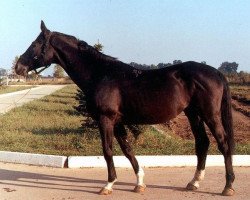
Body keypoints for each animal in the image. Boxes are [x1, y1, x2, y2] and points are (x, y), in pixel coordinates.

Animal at [15, 21, 234, 196]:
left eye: (35, 44)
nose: (18, 67)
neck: (101, 74)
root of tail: (216, 73)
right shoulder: (118, 122)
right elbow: (128, 150)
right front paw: (140, 183)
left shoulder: (106, 119)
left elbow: (108, 151)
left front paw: (108, 184)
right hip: (193, 114)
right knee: (202, 143)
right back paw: (194, 182)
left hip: (209, 114)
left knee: (222, 143)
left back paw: (228, 186)